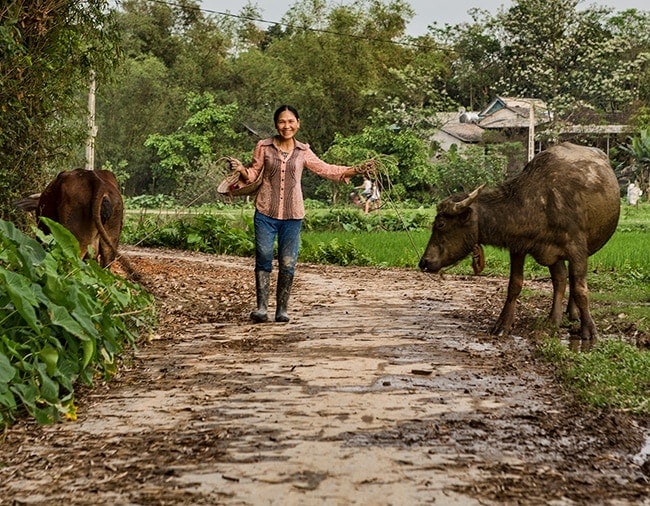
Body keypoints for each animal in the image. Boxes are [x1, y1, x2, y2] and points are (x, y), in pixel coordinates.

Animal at [418, 142, 620, 340]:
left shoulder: (577, 250)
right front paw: (502, 325)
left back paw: (573, 313)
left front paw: (589, 331)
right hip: (553, 256)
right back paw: (553, 319)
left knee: (570, 280)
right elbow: (515, 285)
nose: (424, 262)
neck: (539, 202)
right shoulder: (518, 247)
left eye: (441, 224)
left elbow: (580, 290)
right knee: (560, 280)